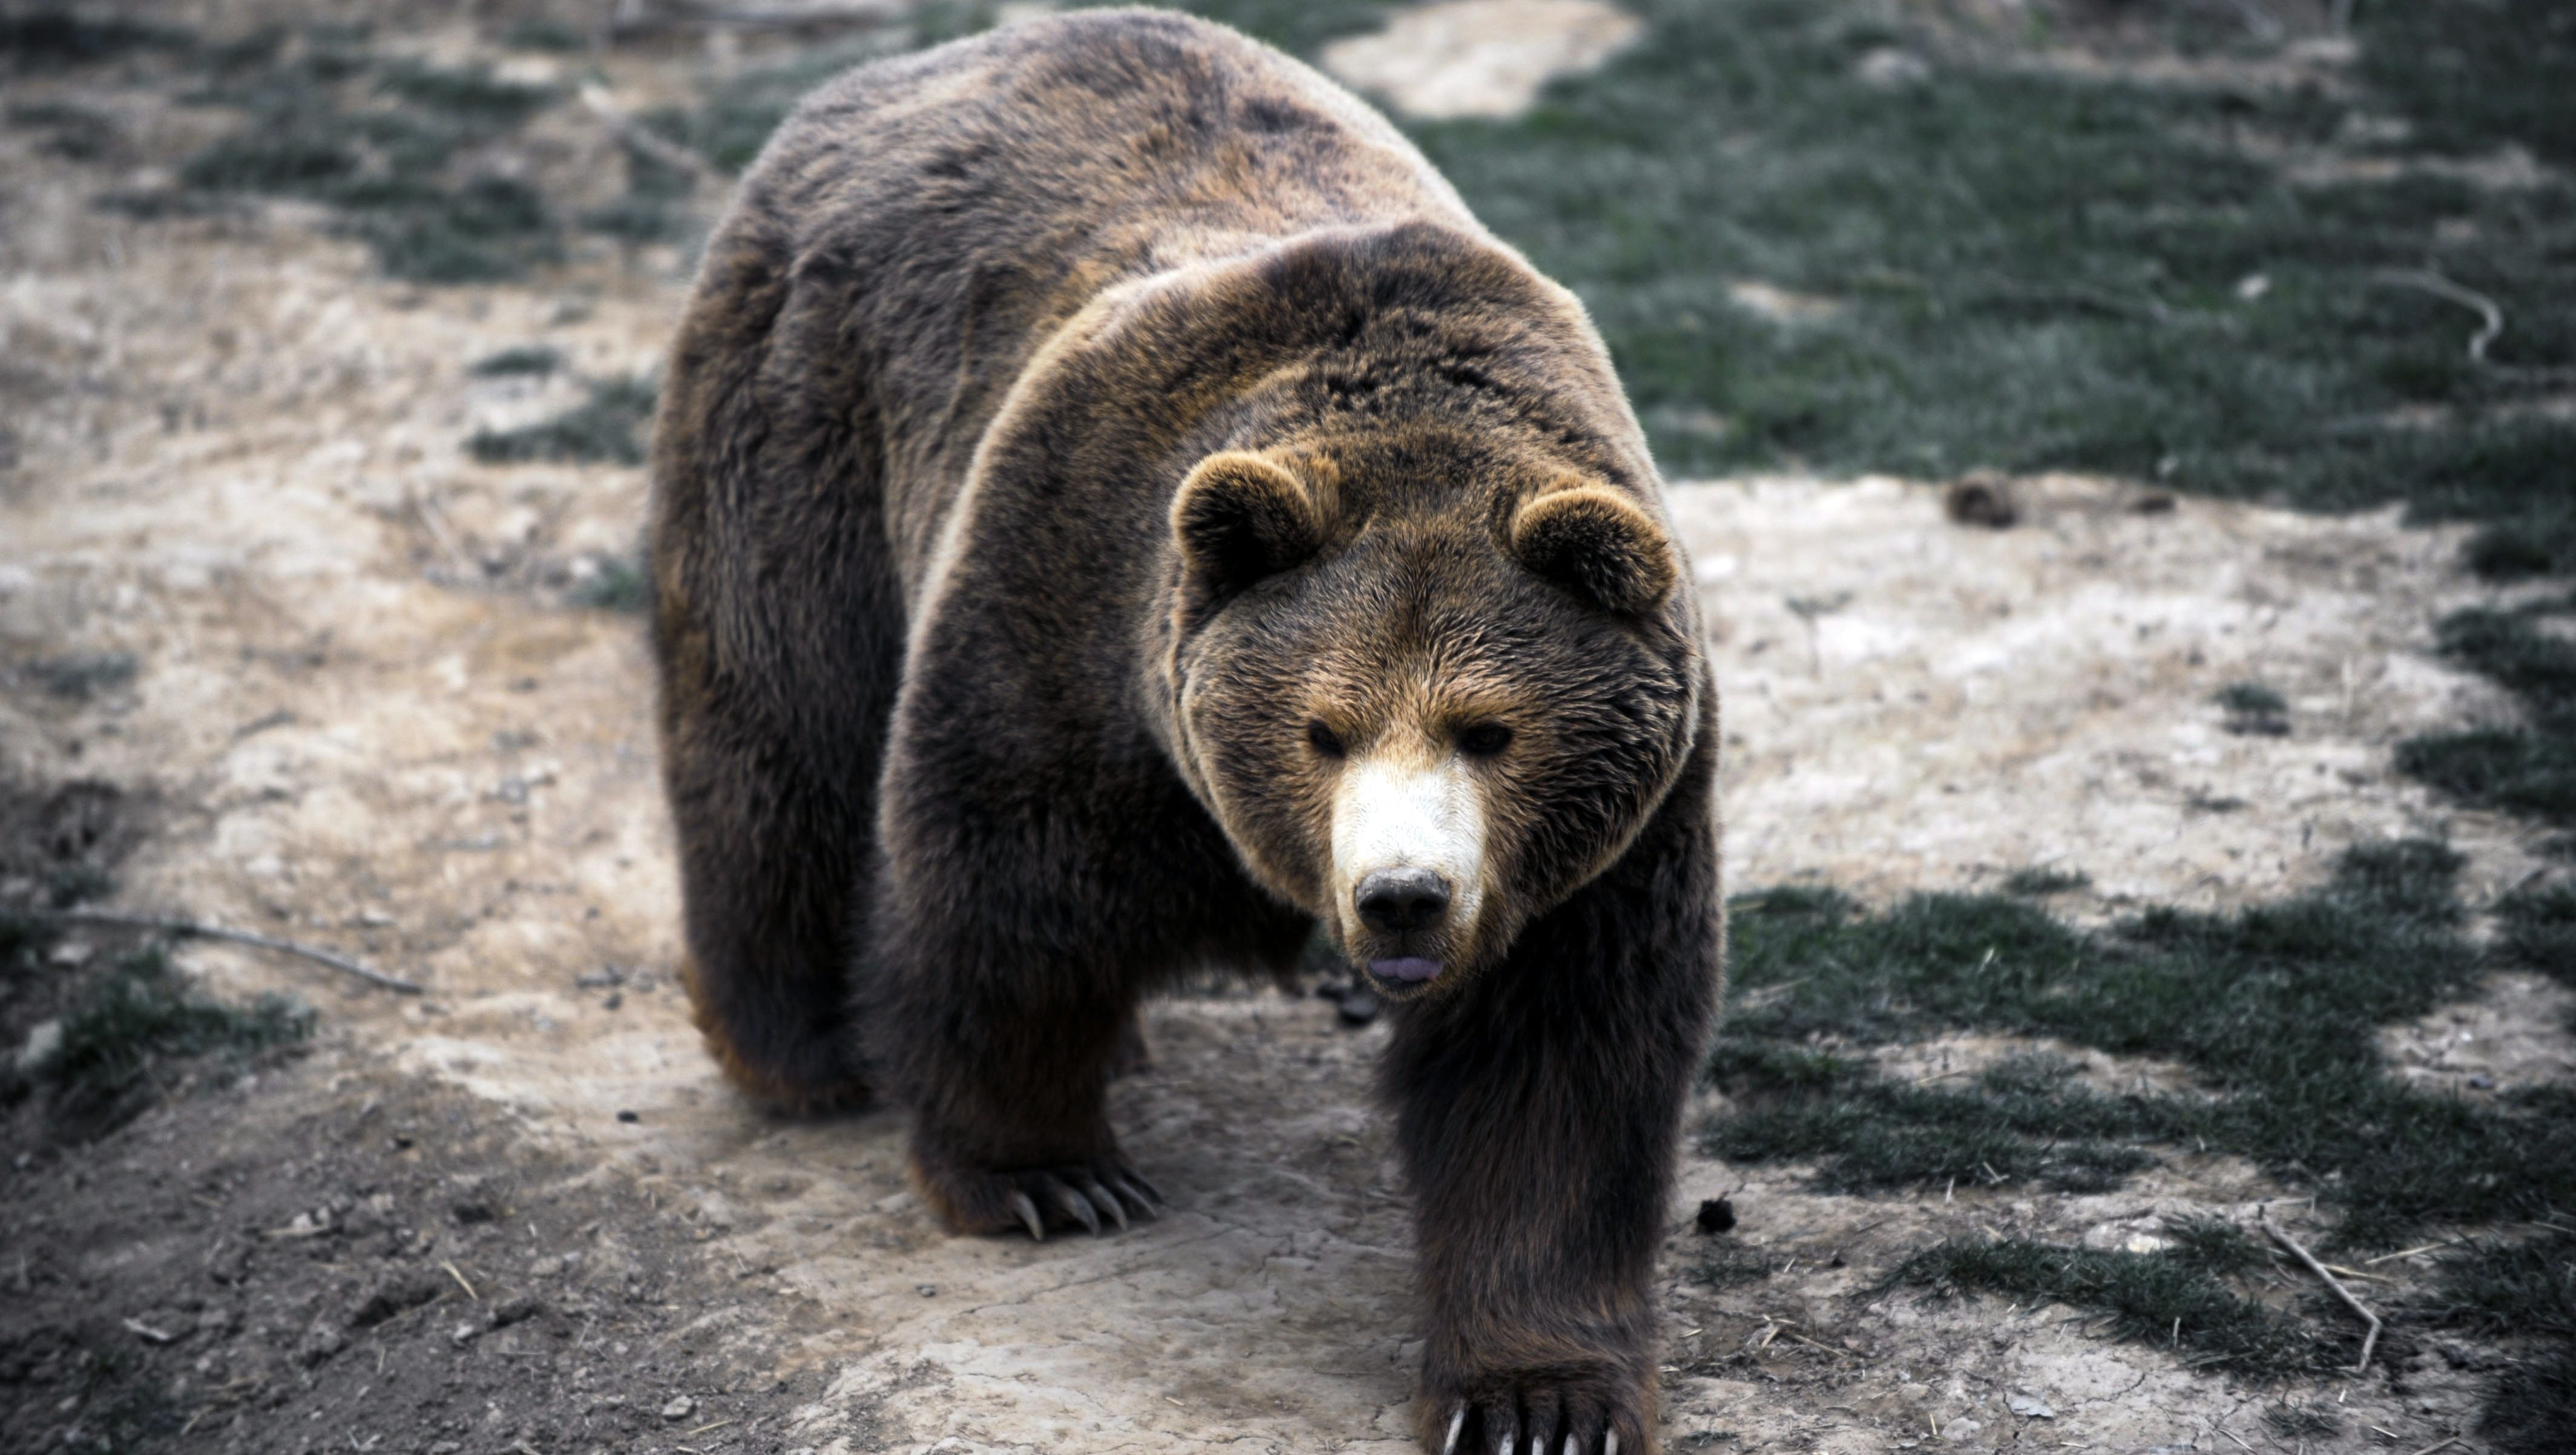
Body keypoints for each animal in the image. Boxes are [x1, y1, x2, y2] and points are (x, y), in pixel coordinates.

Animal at [654, 14, 1721, 1452]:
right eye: (1324, 728)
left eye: (1488, 729)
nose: (1399, 896)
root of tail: (900, 70)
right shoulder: (1080, 610)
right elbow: (1006, 889)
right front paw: (1047, 1172)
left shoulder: (1600, 846)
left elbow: (1552, 1075)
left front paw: (1538, 1400)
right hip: (811, 421)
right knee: (782, 730)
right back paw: (806, 1043)